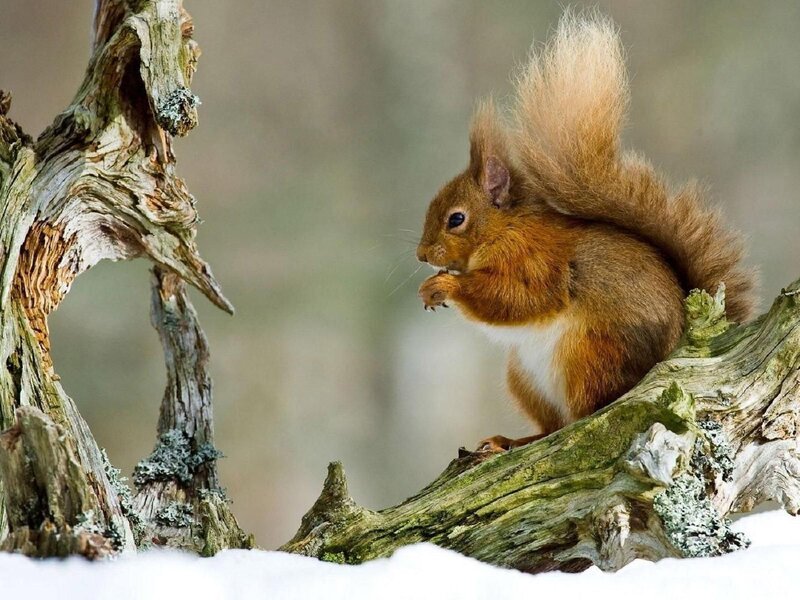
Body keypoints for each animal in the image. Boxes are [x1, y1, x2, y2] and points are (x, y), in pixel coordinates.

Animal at [416, 11, 757, 452]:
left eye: (456, 219)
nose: (422, 255)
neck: (506, 228)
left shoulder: (537, 260)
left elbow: (515, 298)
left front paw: (443, 286)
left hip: (589, 355)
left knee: (583, 416)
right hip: (524, 377)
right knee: (553, 426)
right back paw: (511, 441)